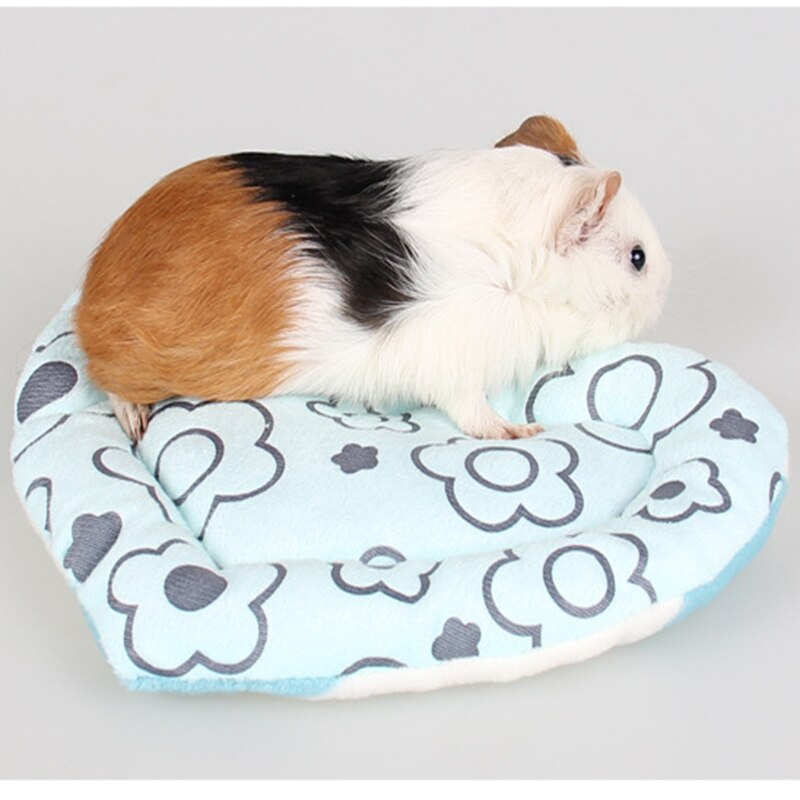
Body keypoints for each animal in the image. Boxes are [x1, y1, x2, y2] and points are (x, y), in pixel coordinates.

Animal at [75, 115, 671, 443]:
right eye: (637, 257)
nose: (666, 288)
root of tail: (92, 291)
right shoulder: (456, 367)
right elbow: (474, 412)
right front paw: (521, 432)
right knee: (111, 384)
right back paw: (137, 421)